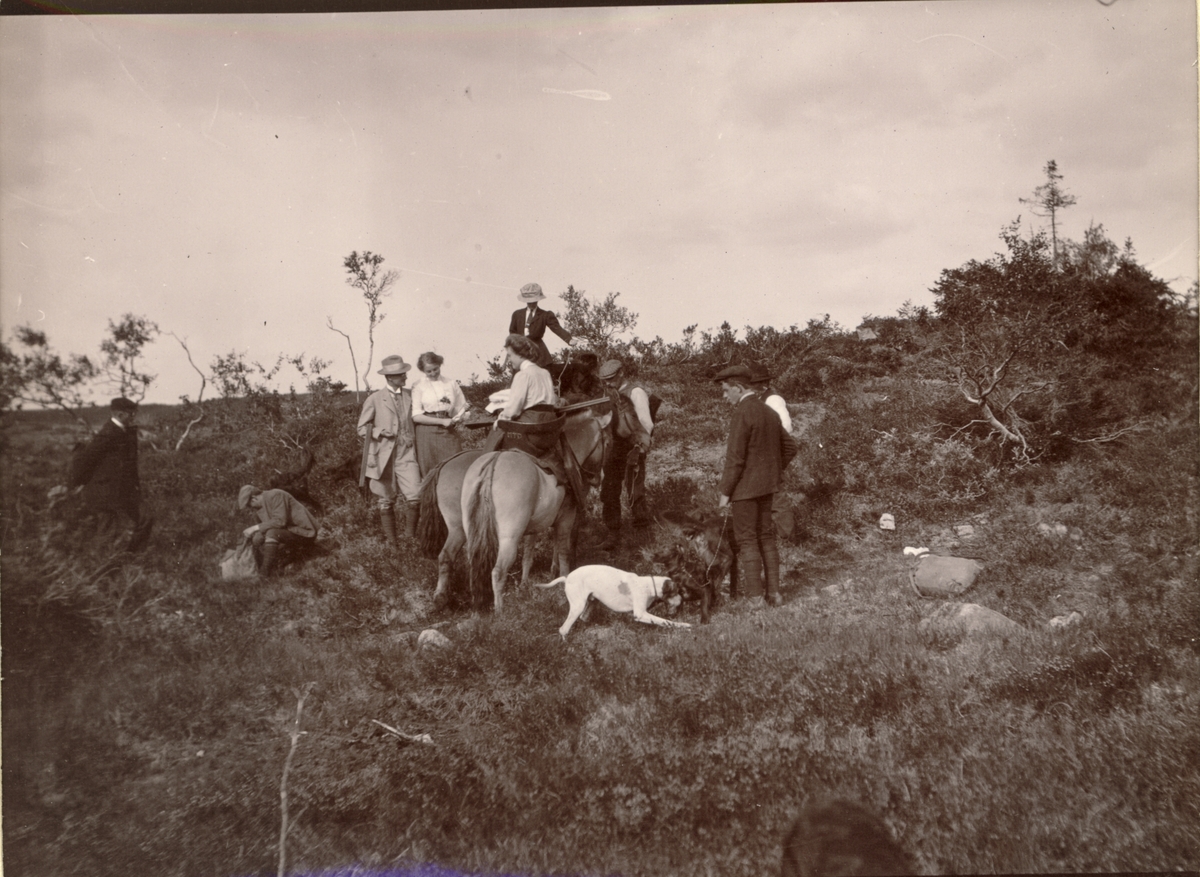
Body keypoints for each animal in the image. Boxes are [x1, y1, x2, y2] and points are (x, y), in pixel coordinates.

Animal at [420, 403, 609, 609]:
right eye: (606, 442)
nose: (598, 478)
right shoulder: (565, 518)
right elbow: (563, 551)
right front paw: (562, 583)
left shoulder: (535, 523)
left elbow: (529, 552)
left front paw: (526, 582)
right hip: (506, 536)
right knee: (498, 570)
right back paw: (499, 610)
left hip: (460, 529)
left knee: (447, 557)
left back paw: (442, 598)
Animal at [537, 566, 696, 643]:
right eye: (679, 592)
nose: (685, 601)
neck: (650, 585)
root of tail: (567, 577)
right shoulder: (641, 614)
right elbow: (665, 621)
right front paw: (684, 625)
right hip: (577, 607)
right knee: (563, 629)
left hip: (591, 604)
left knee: (582, 619)